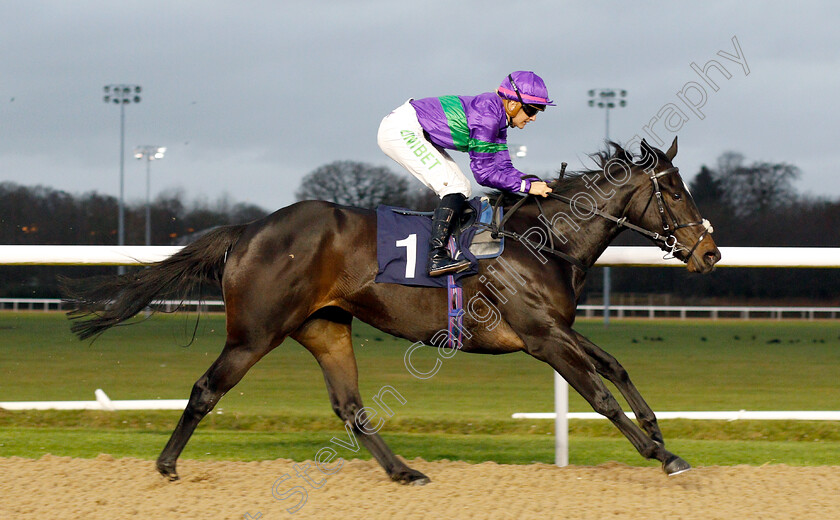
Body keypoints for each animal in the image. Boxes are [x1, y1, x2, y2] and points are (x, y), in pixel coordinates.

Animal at [64, 137, 720, 484]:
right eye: (675, 191)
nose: (710, 251)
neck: (542, 242)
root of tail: (249, 229)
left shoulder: (557, 328)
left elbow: (615, 367)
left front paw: (659, 430)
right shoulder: (542, 337)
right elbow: (601, 395)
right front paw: (662, 454)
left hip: (325, 327)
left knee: (350, 406)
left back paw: (405, 471)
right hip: (255, 332)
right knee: (206, 388)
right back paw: (167, 465)